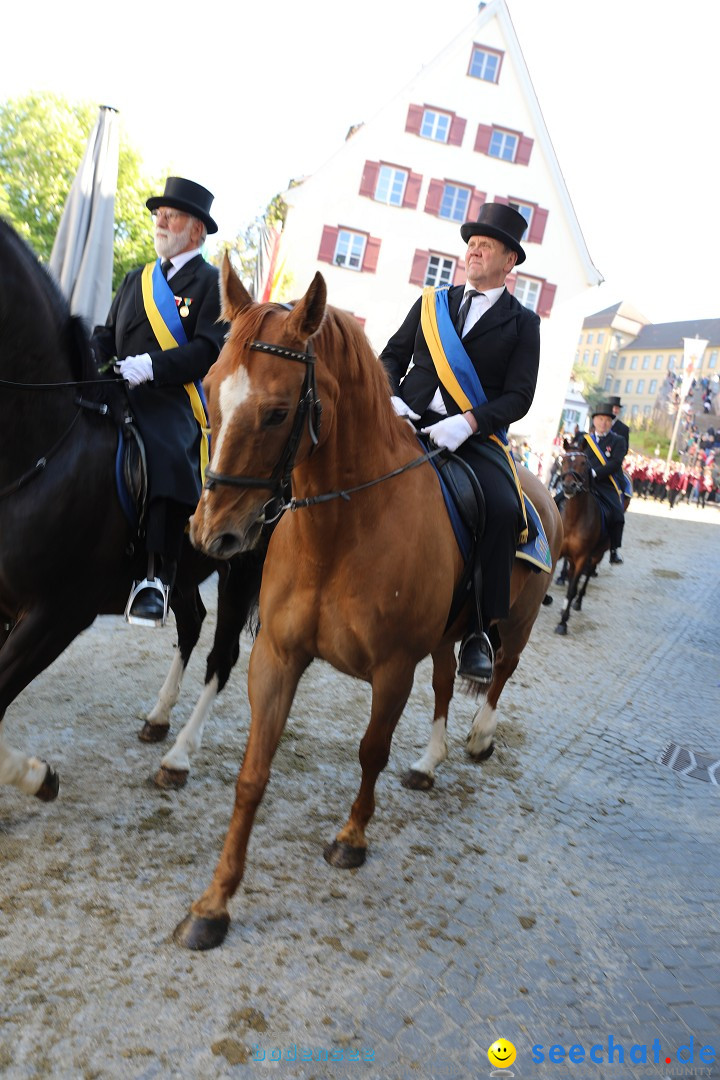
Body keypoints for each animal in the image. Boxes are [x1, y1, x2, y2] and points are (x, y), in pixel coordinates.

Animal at [170, 257, 561, 950]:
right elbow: (252, 774)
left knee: (498, 673)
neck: (341, 531)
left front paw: (350, 838)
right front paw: (213, 904)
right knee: (446, 682)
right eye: (210, 391)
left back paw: (480, 736)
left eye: (277, 413)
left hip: (514, 623)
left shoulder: (392, 668)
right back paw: (429, 761)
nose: (214, 533)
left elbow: (370, 751)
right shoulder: (277, 656)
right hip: (445, 634)